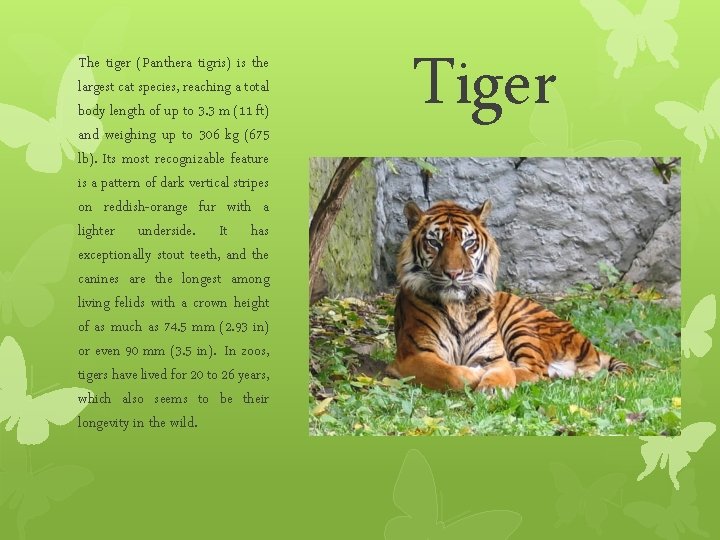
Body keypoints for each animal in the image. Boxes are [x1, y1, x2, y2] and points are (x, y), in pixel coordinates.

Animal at [386, 199, 632, 396]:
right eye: (434, 243)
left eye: (468, 243)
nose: (454, 273)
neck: (458, 307)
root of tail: (590, 346)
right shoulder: (414, 355)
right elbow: (451, 373)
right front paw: (475, 375)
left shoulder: (494, 357)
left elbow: (501, 373)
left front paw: (493, 388)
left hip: (520, 322)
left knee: (537, 371)